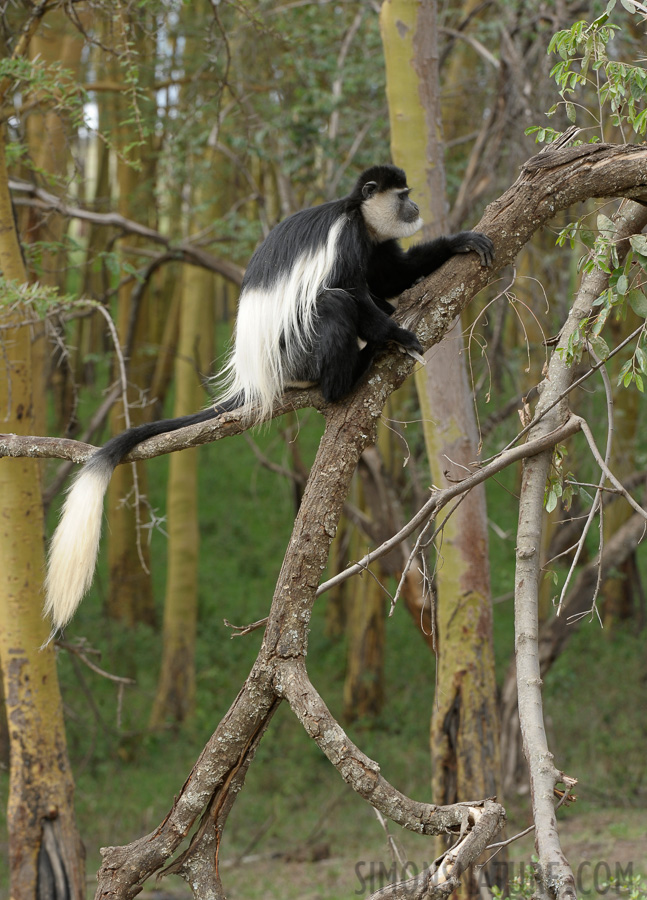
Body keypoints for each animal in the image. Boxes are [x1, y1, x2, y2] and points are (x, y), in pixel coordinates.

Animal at [43, 165, 494, 628]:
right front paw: (399, 335)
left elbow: (393, 274)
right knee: (332, 302)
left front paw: (460, 241)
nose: (415, 207)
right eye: (402, 196)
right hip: (296, 353)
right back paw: (350, 377)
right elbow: (352, 290)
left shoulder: (375, 242)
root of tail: (256, 377)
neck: (358, 216)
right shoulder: (347, 240)